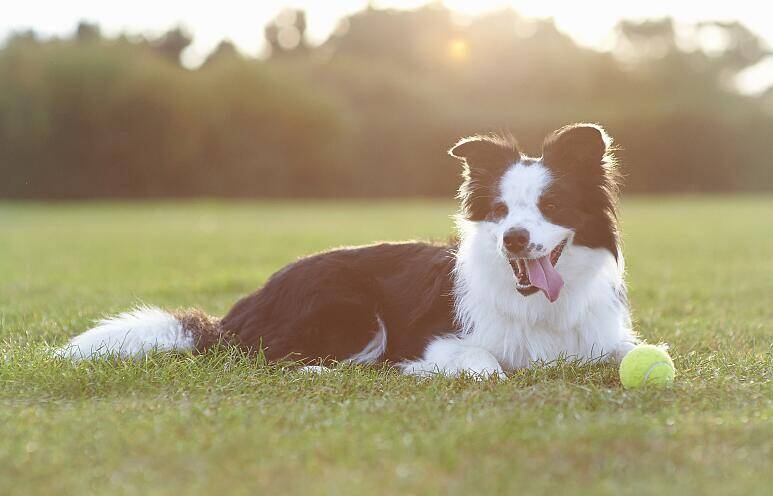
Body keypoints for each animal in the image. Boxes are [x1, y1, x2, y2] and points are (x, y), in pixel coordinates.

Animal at [58, 123, 640, 376]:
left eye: (551, 205)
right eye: (499, 211)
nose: (514, 238)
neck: (538, 306)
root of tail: (240, 310)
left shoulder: (603, 339)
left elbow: (637, 351)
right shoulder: (431, 339)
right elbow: (485, 364)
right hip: (352, 310)